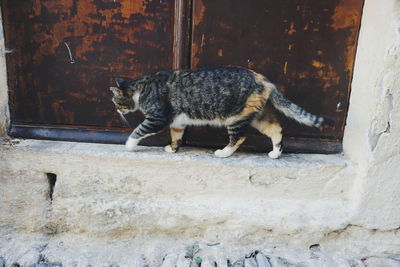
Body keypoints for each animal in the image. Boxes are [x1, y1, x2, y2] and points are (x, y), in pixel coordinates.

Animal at [108, 66, 332, 159]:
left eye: (116, 101)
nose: (116, 109)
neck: (142, 87)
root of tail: (264, 80)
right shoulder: (177, 122)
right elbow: (177, 136)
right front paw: (173, 148)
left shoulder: (157, 118)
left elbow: (138, 131)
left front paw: (129, 146)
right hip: (258, 116)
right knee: (276, 129)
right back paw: (275, 153)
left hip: (236, 117)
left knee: (239, 137)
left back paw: (223, 153)